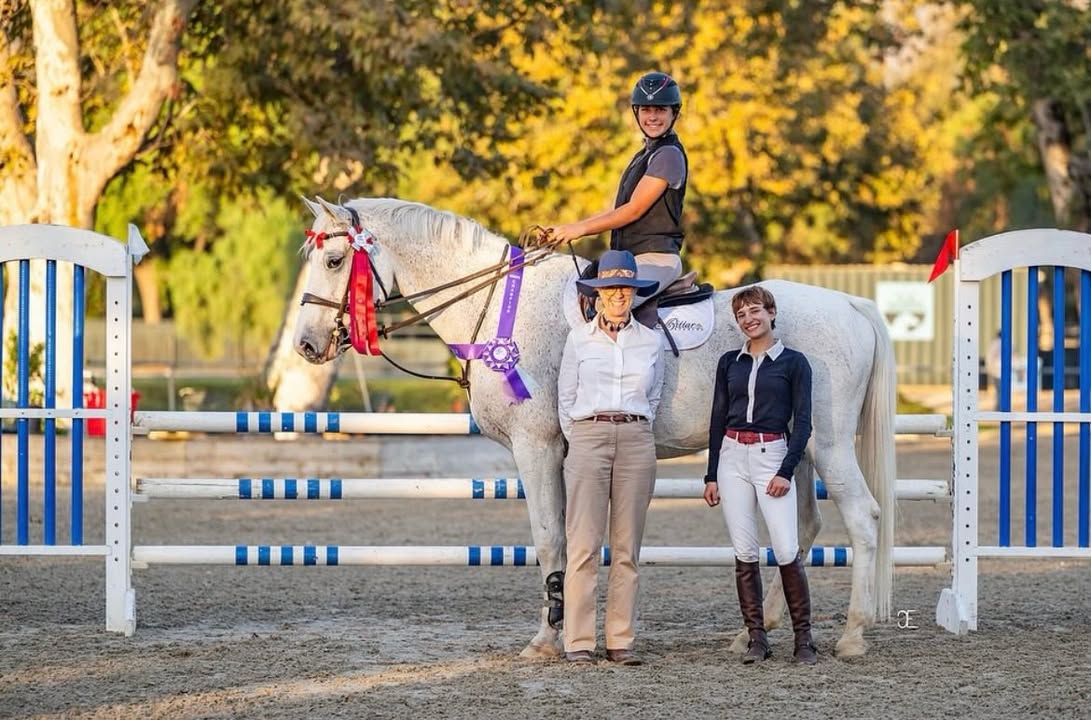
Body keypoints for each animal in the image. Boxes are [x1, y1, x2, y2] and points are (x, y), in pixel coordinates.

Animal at [293, 196, 897, 659]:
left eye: (334, 259)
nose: (306, 345)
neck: (500, 308)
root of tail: (851, 302)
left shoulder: (536, 447)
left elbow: (550, 538)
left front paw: (546, 639)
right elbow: (568, 536)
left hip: (828, 445)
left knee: (864, 520)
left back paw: (852, 636)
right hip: (795, 451)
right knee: (804, 526)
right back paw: (760, 630)